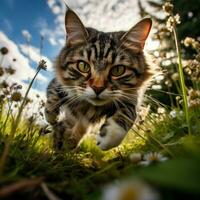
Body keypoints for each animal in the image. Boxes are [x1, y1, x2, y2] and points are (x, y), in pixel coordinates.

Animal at [45, 8, 153, 152]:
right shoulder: (58, 83)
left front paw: (108, 137)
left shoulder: (131, 98)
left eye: (118, 70)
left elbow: (127, 115)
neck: (91, 106)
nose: (97, 88)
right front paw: (52, 117)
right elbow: (52, 98)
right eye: (83, 66)